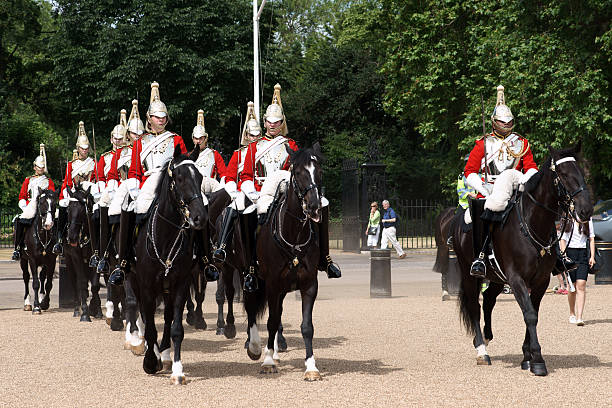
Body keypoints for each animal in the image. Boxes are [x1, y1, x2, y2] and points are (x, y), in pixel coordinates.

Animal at [131, 147, 208, 386]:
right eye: (180, 178)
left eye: (200, 177)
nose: (200, 217)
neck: (165, 236)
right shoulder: (146, 287)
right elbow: (149, 327)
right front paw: (149, 361)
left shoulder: (180, 285)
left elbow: (175, 329)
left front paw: (177, 370)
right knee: (144, 316)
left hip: (167, 289)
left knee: (165, 319)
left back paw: (164, 354)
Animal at [244, 143, 328, 380]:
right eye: (297, 172)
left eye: (320, 171)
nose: (314, 207)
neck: (295, 234)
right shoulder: (272, 284)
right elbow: (271, 321)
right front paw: (267, 362)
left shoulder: (309, 285)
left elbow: (307, 326)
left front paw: (311, 367)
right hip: (250, 277)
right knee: (252, 308)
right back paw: (256, 348)